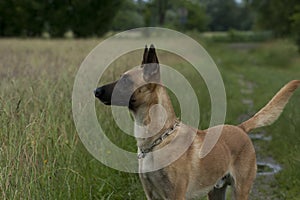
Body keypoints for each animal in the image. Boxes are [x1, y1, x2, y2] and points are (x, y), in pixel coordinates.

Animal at [94, 44, 300, 199]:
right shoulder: (151, 194)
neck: (158, 140)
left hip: (241, 190)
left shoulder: (176, 195)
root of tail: (240, 128)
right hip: (216, 192)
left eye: (126, 80)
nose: (96, 91)